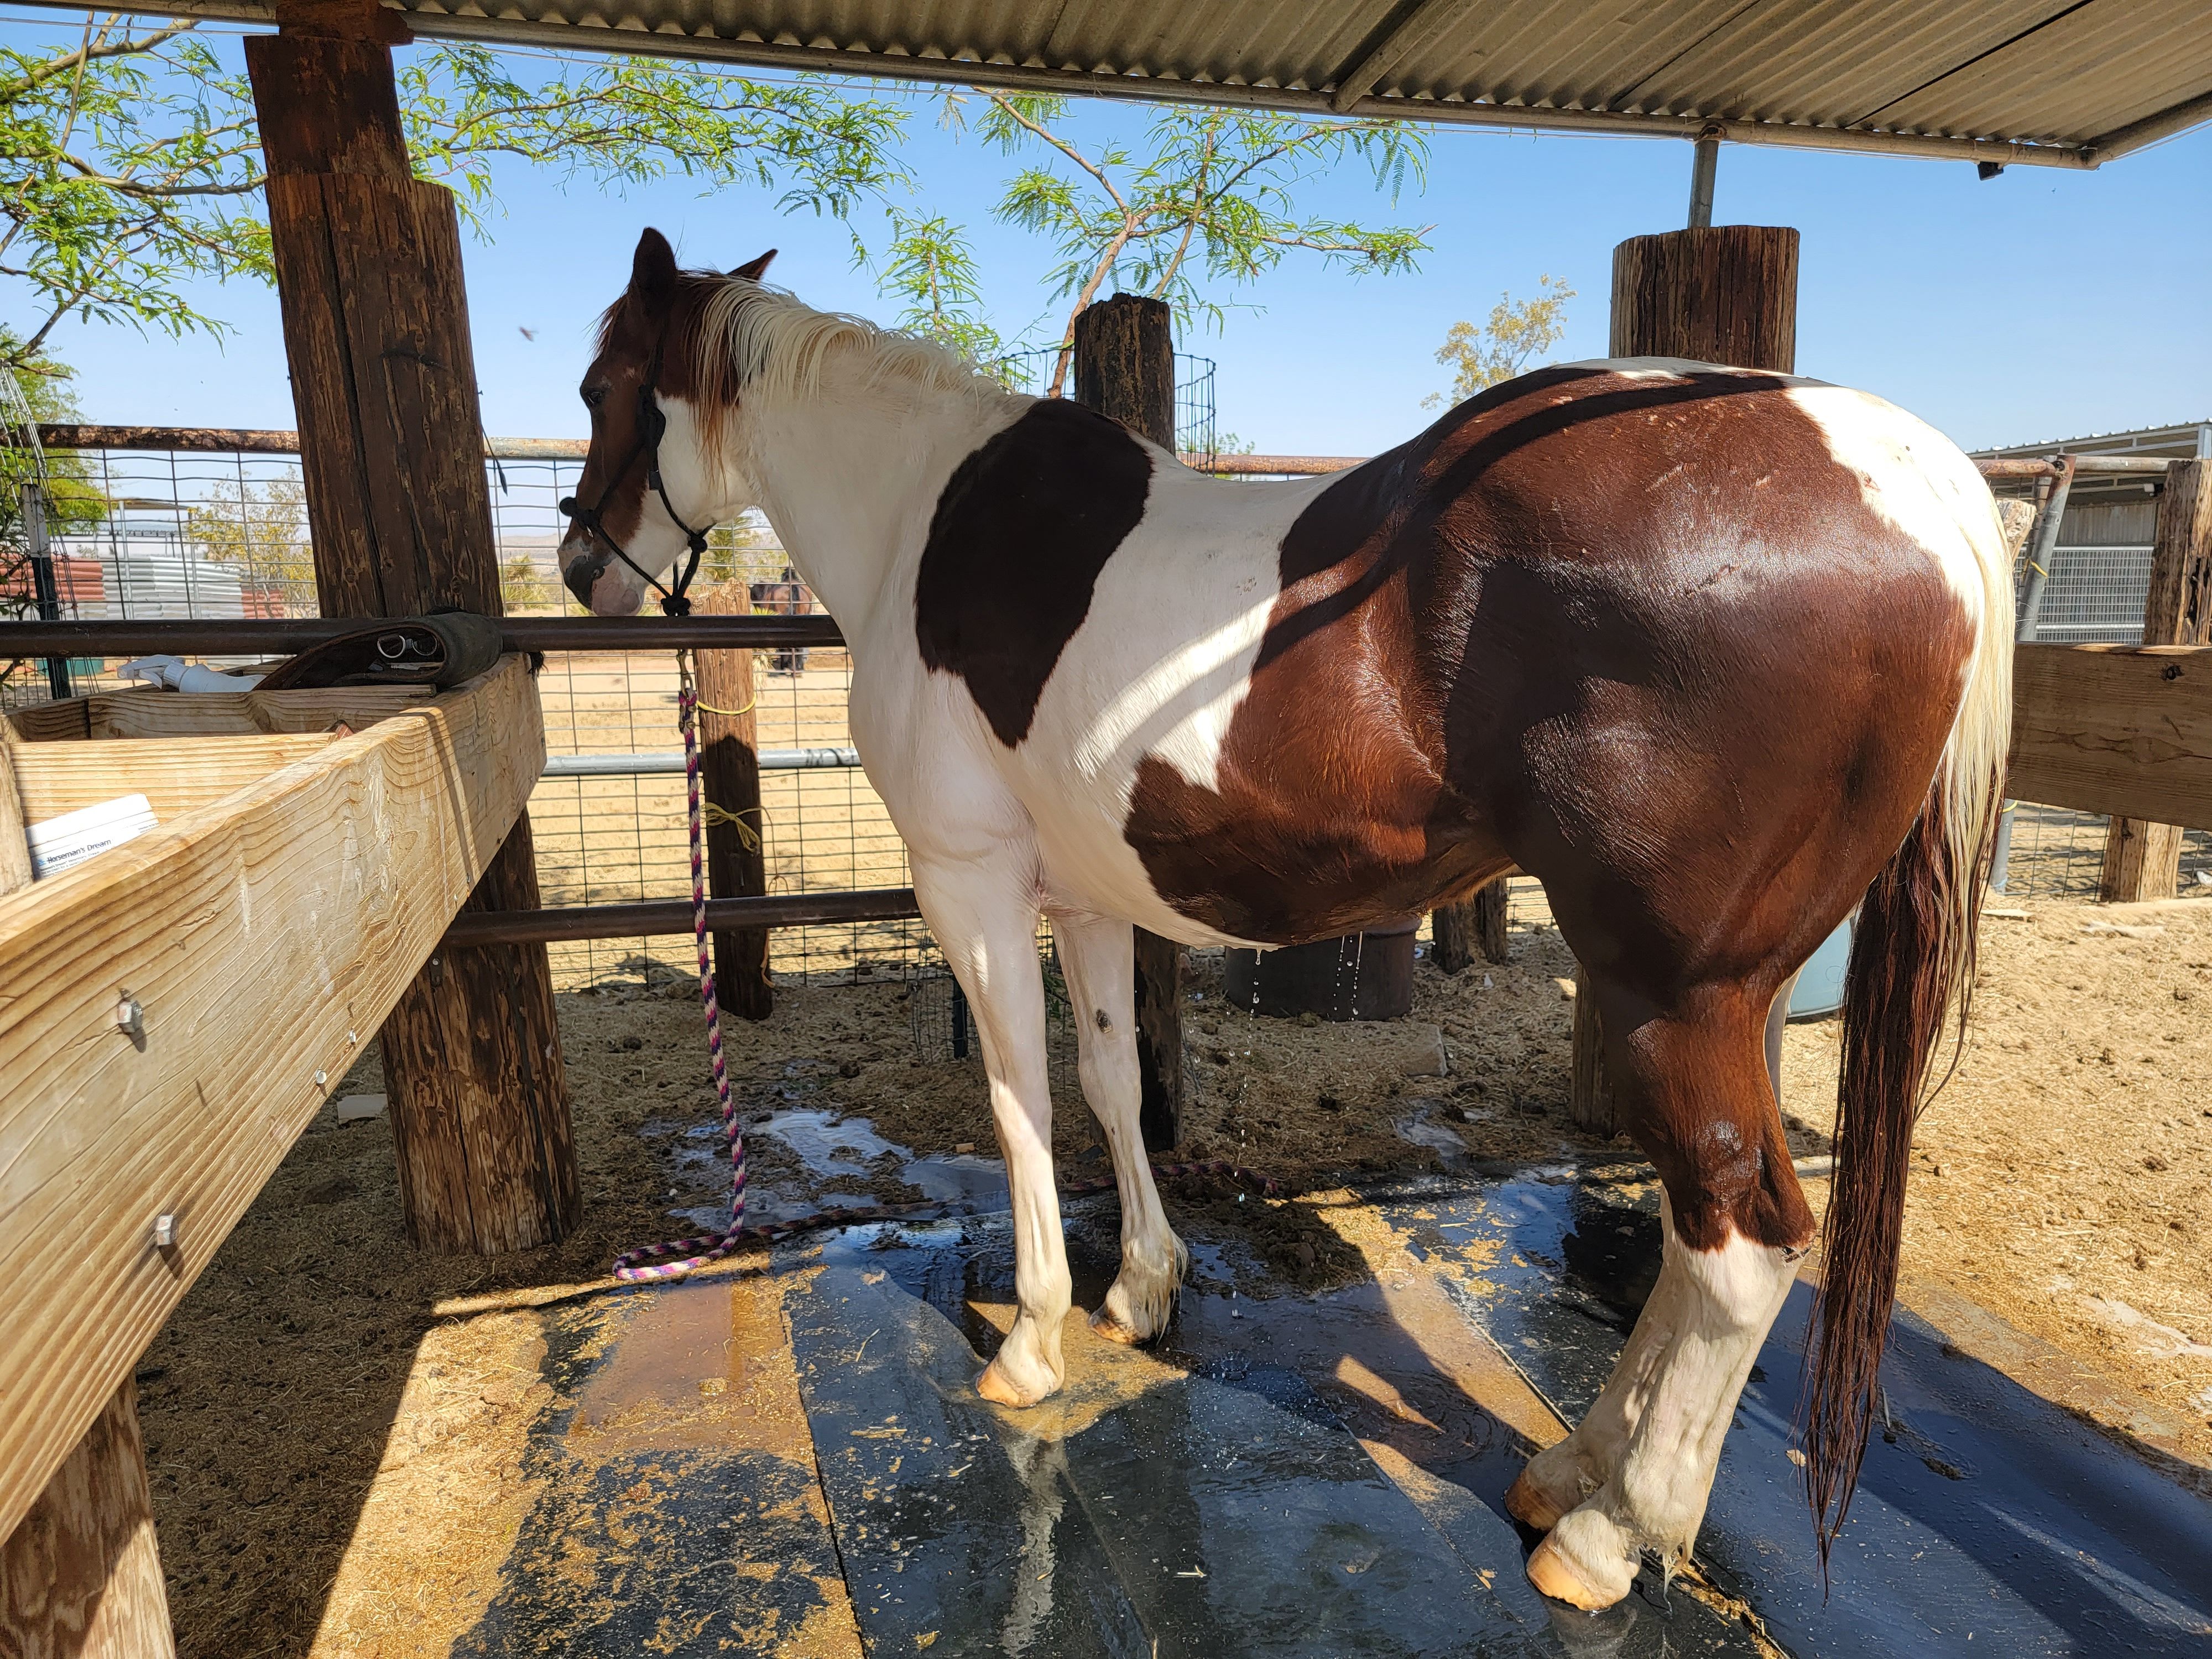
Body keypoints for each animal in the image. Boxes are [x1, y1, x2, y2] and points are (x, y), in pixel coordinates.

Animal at [560, 228, 2010, 1611]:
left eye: (601, 387)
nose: (579, 566)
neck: (930, 521)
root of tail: (1916, 481)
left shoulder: (966, 883)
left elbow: (1019, 1099)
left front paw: (1031, 1339)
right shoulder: (1081, 895)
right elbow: (1110, 1084)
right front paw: (1140, 1289)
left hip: (1674, 991)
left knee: (1737, 1240)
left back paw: (1605, 1540)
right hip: (1709, 996)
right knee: (1690, 1230)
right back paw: (1568, 1473)